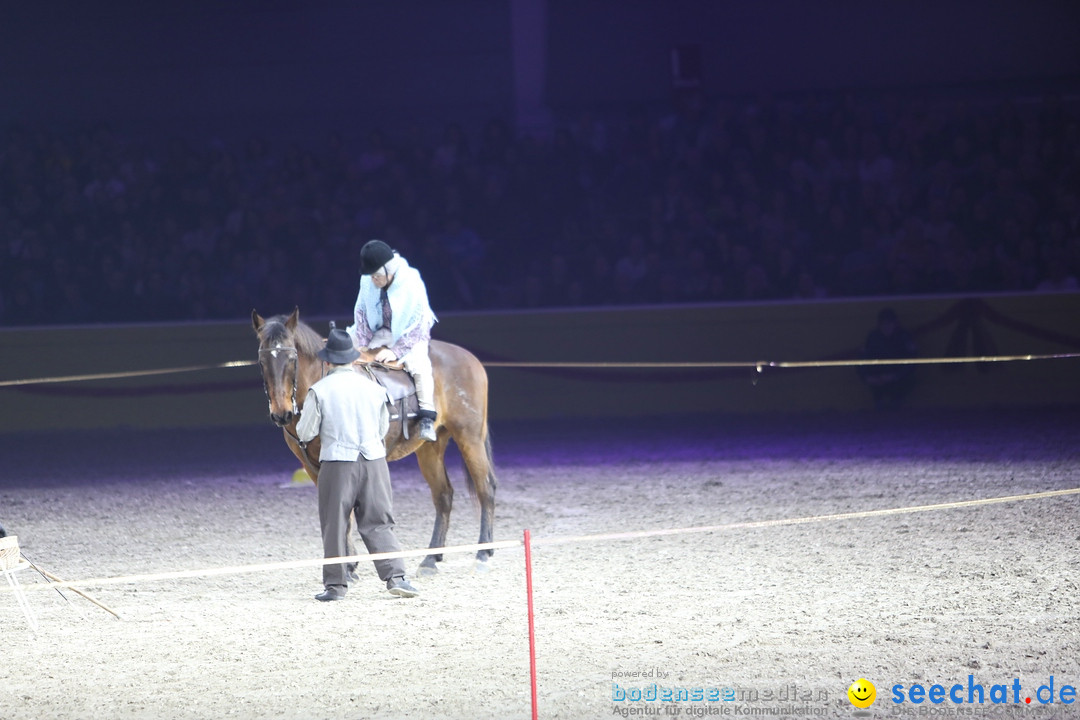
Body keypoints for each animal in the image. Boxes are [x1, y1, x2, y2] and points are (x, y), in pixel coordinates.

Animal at [250, 308, 494, 574]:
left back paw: (483, 553)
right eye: (262, 362)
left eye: (292, 358)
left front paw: (348, 566)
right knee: (443, 496)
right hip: (430, 449)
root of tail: (470, 359)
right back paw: (431, 559)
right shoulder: (312, 467)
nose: (281, 414)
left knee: (485, 488)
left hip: (469, 437)